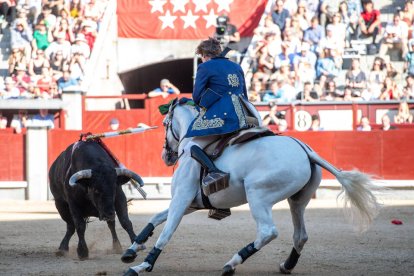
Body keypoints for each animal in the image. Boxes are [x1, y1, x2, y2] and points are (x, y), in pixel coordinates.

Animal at [121, 99, 380, 276]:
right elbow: (156, 217)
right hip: (298, 201)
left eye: (165, 124)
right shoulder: (191, 203)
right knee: (300, 235)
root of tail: (305, 149)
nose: (165, 156)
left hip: (259, 196)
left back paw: (232, 263)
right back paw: (286, 266)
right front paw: (132, 250)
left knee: (268, 232)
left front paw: (142, 265)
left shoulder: (182, 198)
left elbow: (166, 231)